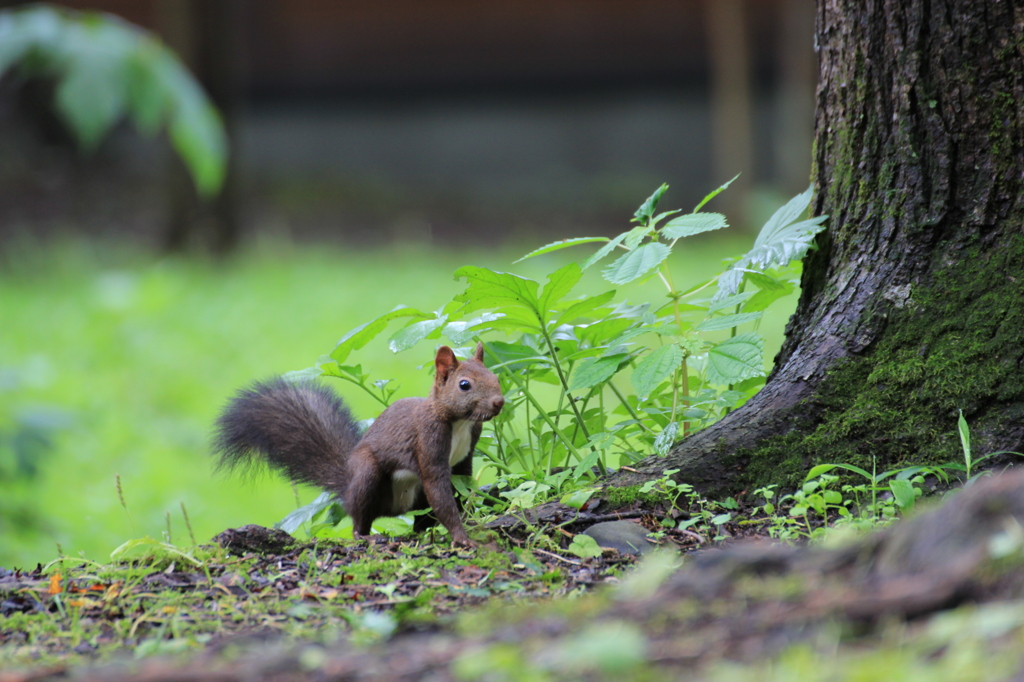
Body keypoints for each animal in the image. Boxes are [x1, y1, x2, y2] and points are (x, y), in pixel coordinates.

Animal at [215, 342, 503, 544]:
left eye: (496, 378)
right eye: (464, 385)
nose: (499, 402)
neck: (459, 423)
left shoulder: (464, 458)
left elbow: (461, 491)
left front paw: (471, 521)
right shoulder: (428, 439)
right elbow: (440, 491)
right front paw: (461, 537)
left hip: (416, 499)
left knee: (420, 521)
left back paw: (420, 532)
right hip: (367, 476)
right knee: (360, 518)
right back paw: (365, 536)